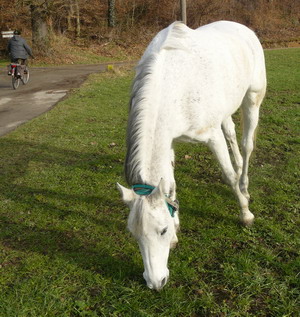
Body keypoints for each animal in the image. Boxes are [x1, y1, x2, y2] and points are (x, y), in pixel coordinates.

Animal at [118, 21, 266, 290]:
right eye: (132, 234)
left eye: (161, 231)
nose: (155, 282)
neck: (172, 87)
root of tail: (242, 27)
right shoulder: (168, 141)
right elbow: (171, 184)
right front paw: (177, 224)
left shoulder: (211, 136)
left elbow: (227, 175)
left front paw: (245, 214)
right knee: (232, 133)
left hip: (252, 98)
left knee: (246, 145)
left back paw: (245, 186)